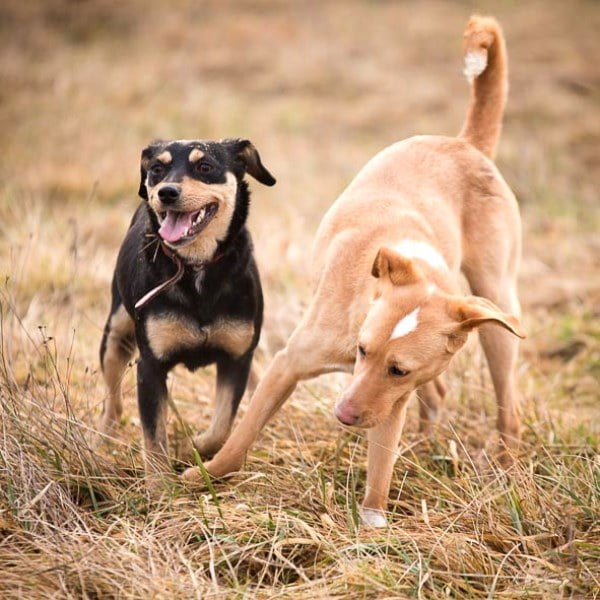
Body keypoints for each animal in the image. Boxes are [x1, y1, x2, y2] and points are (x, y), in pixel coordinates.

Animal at [98, 138, 275, 479]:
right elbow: (154, 438)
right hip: (116, 336)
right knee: (114, 401)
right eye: (157, 168)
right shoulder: (150, 366)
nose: (166, 192)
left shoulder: (236, 359)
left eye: (205, 166)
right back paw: (100, 437)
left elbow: (222, 424)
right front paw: (160, 485)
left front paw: (197, 447)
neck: (196, 266)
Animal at [185, 15, 525, 528]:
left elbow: (381, 464)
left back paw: (499, 465)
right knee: (441, 394)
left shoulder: (389, 402)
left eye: (399, 369)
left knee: (498, 404)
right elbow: (243, 435)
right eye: (363, 350)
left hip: (496, 309)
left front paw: (374, 522)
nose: (344, 417)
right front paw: (205, 476)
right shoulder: (288, 365)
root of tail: (466, 144)